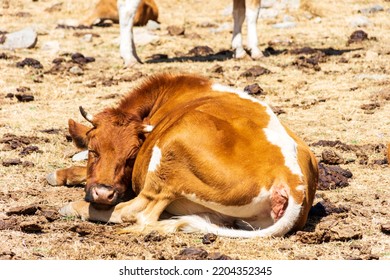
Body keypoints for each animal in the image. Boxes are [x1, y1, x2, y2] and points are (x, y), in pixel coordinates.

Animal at [47, 73, 318, 237]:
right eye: (94, 150)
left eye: (131, 158)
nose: (103, 194)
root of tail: (291, 180)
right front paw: (61, 174)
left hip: (171, 156)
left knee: (136, 212)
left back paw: (74, 207)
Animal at [116, 0, 262, 66]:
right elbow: (253, 13)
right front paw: (255, 50)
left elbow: (239, 14)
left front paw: (239, 51)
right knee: (127, 12)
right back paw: (129, 58)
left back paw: (135, 56)